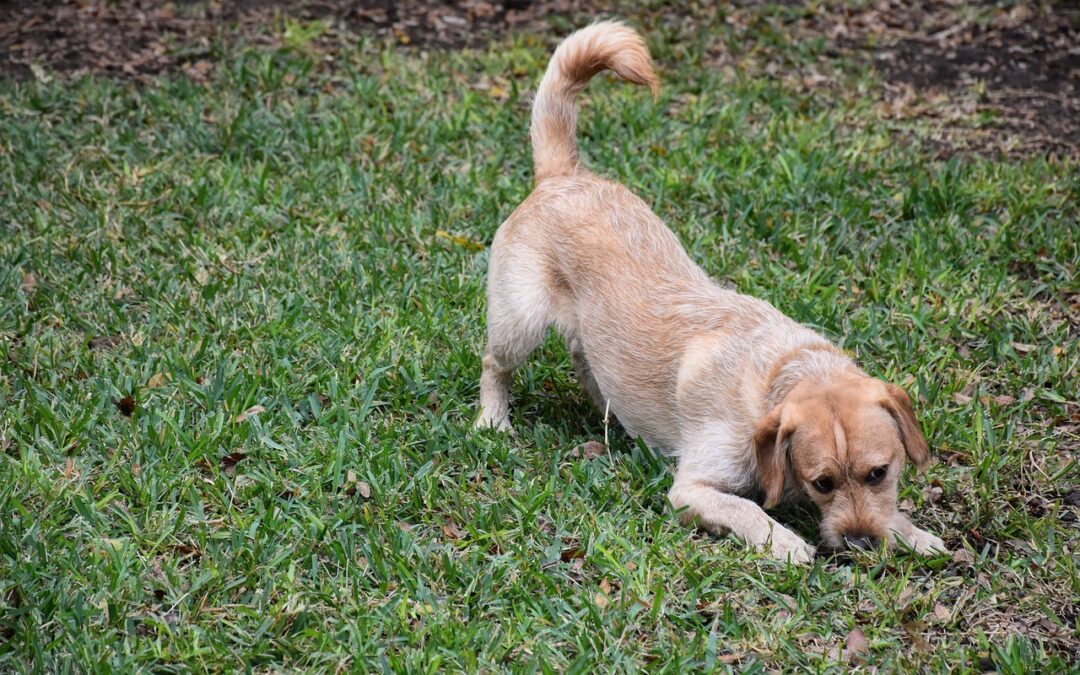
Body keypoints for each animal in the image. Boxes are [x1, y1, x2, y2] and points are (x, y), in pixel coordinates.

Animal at [477, 21, 950, 561]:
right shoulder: (693, 489)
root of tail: (562, 174)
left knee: (585, 359)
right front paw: (786, 543)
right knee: (494, 364)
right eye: (822, 483)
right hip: (520, 322)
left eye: (879, 473)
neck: (780, 374)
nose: (861, 543)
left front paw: (910, 532)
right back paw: (493, 419)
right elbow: (749, 510)